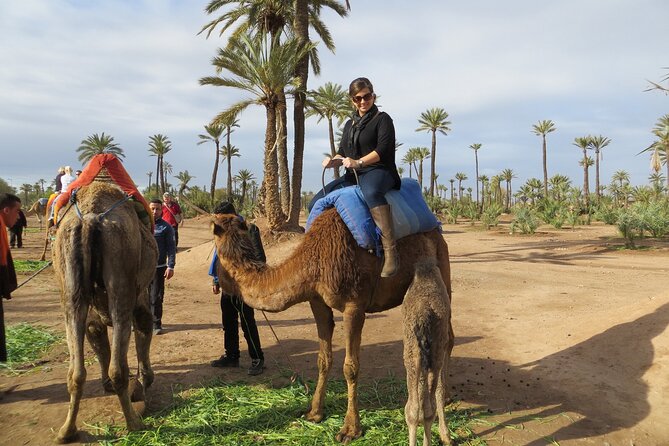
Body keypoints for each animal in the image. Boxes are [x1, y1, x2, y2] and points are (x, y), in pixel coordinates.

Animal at [52, 181, 158, 443]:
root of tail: (90, 219)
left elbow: (96, 334)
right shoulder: (141, 300)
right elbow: (143, 328)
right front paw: (143, 385)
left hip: (71, 285)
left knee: (76, 372)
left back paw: (66, 431)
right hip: (122, 270)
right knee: (119, 360)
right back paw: (134, 423)